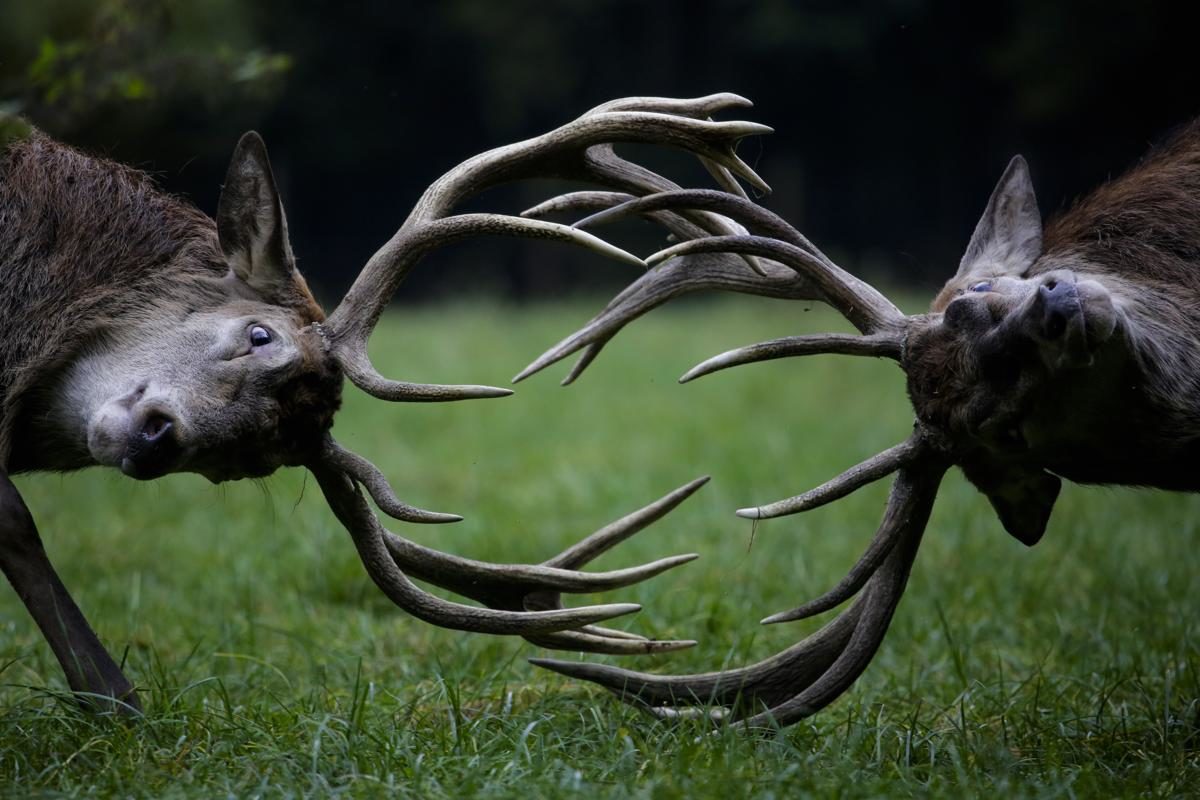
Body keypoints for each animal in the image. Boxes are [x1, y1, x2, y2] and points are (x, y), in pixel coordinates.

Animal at [0, 95, 779, 712]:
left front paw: (114, 701)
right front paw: (112, 699)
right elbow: (18, 522)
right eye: (260, 334)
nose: (155, 437)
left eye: (248, 460)